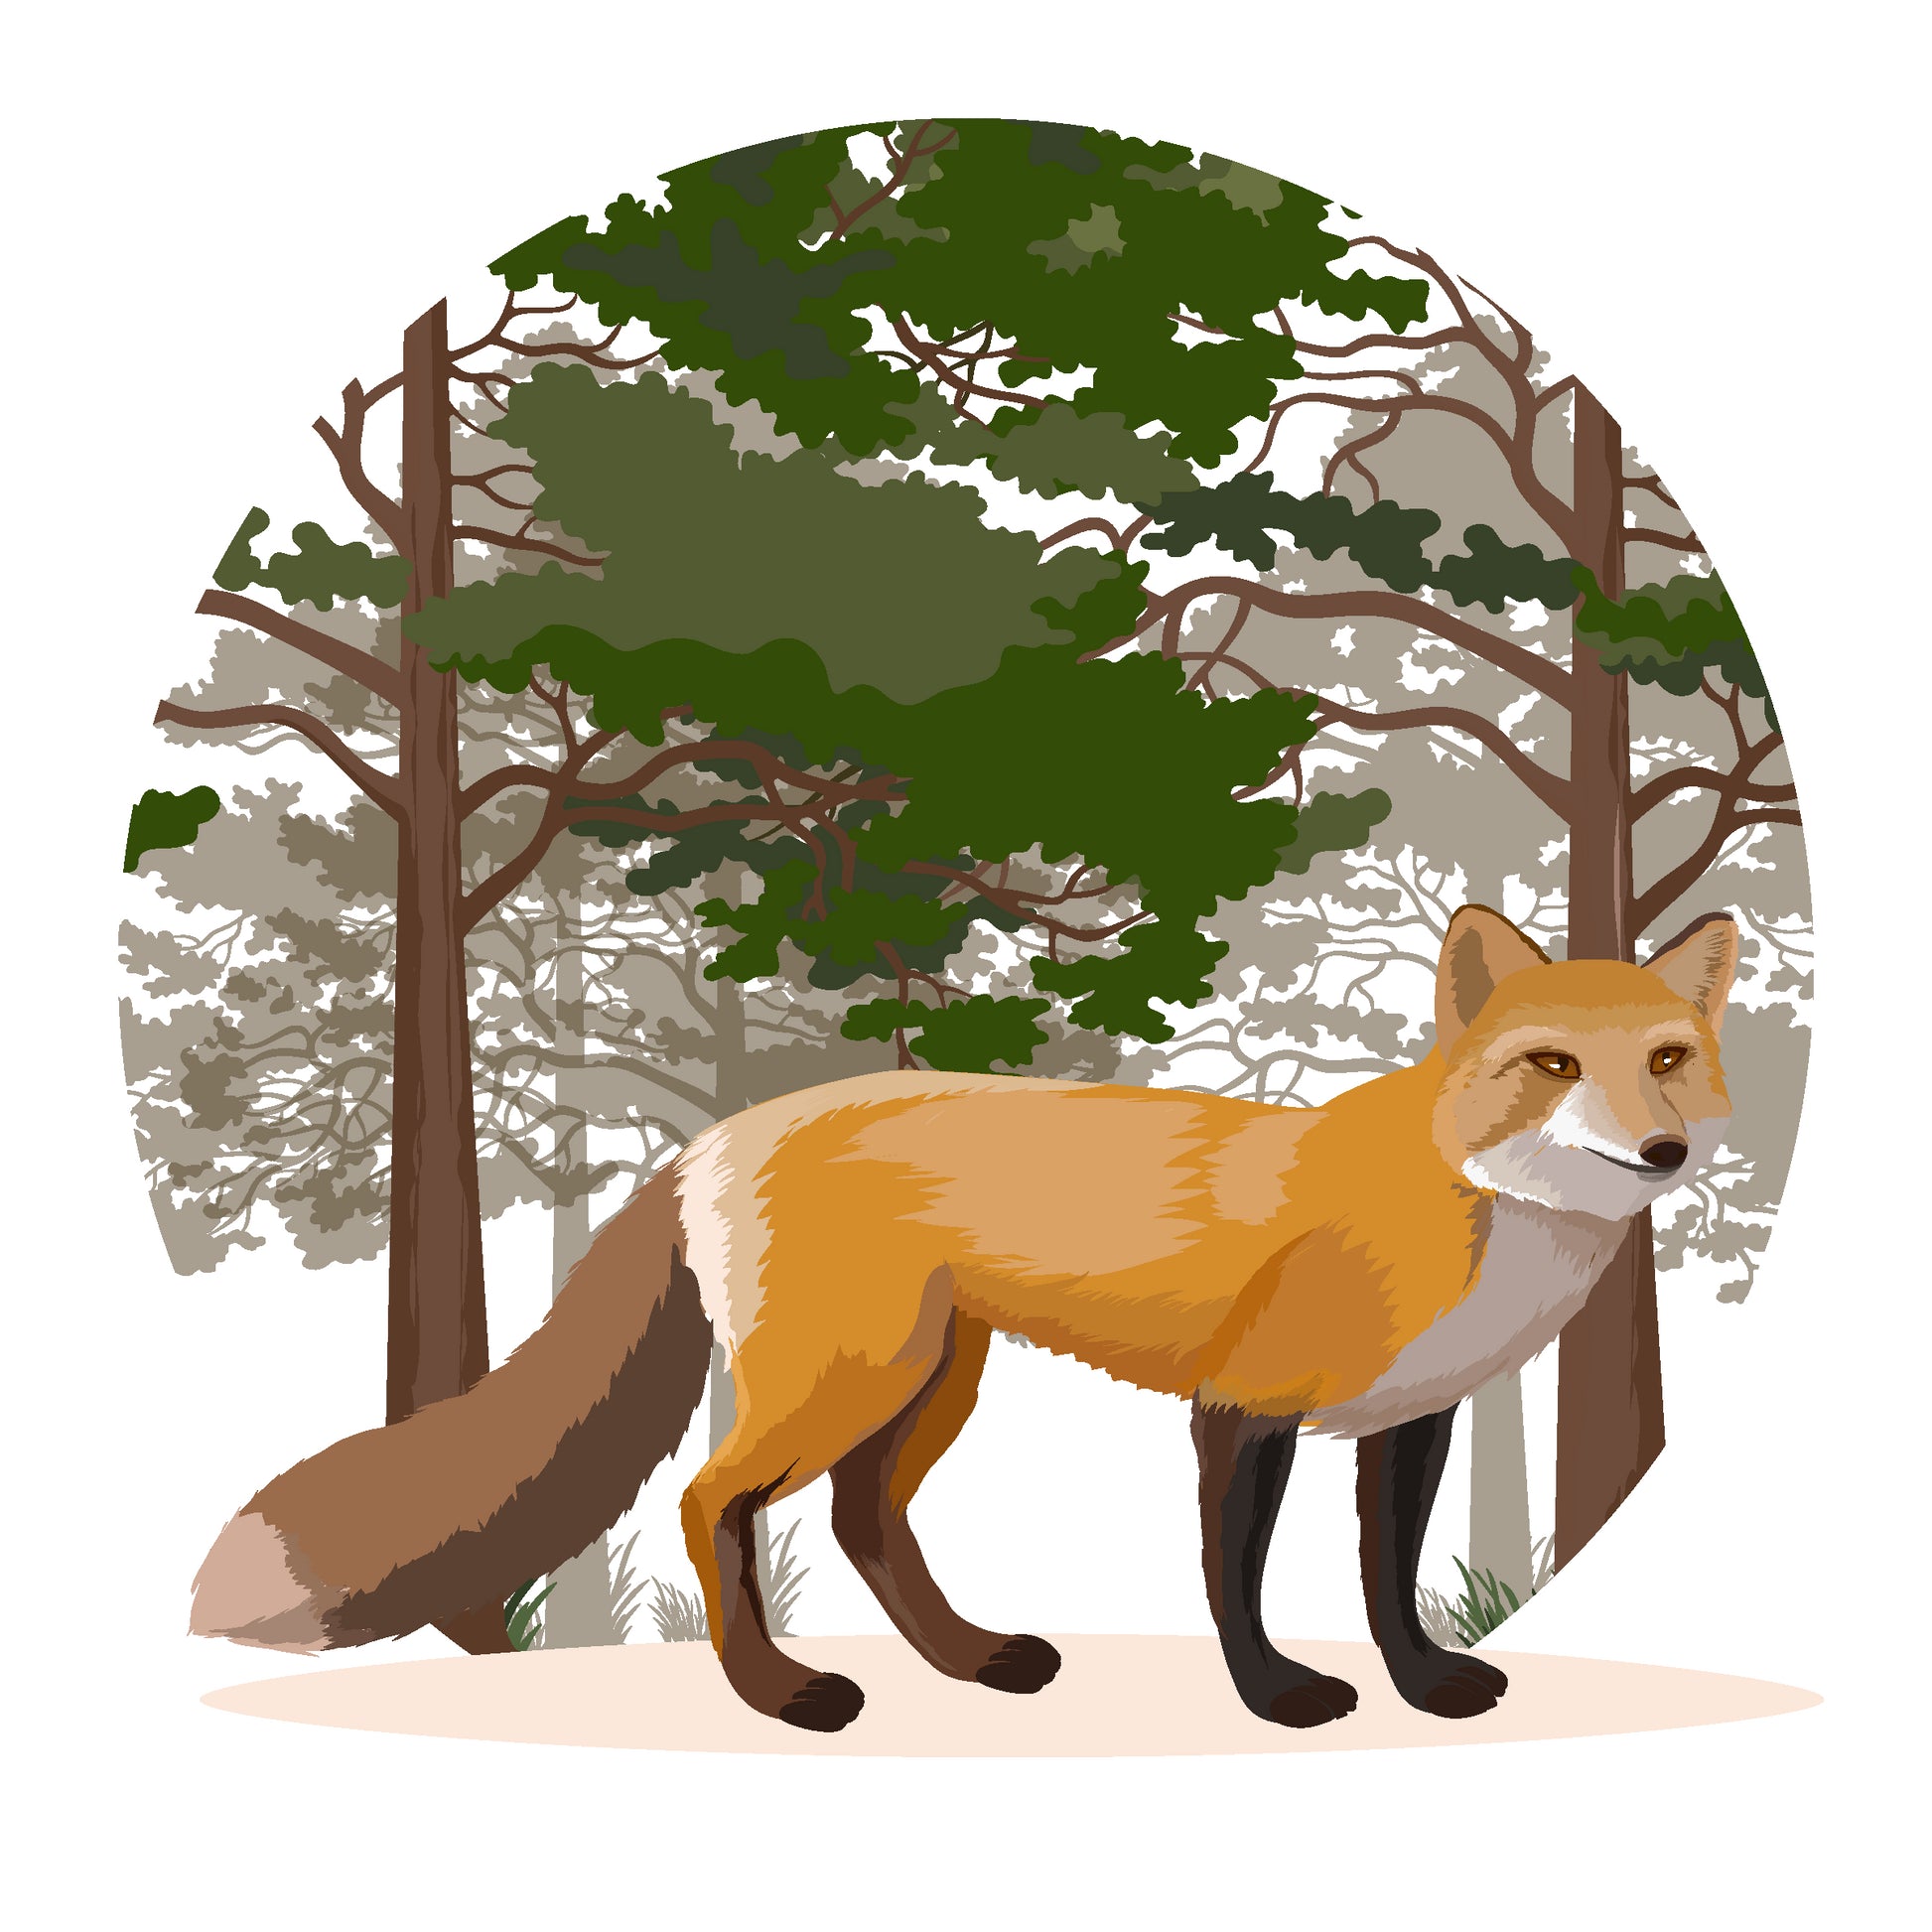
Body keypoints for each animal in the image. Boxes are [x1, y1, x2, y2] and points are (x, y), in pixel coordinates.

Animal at [190, 904, 1738, 1734]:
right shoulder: (1243, 1407)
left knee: (864, 1516)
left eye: (1666, 1058)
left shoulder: (1407, 1415)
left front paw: (1421, 1686)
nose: (1659, 1152)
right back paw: (780, 1692)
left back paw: (970, 1660)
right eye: (1551, 1065)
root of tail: (716, 1134)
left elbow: (1384, 1578)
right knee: (709, 1502)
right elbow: (1234, 1579)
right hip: (848, 1378)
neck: (1474, 1215)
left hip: (928, 1384)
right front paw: (1276, 1700)